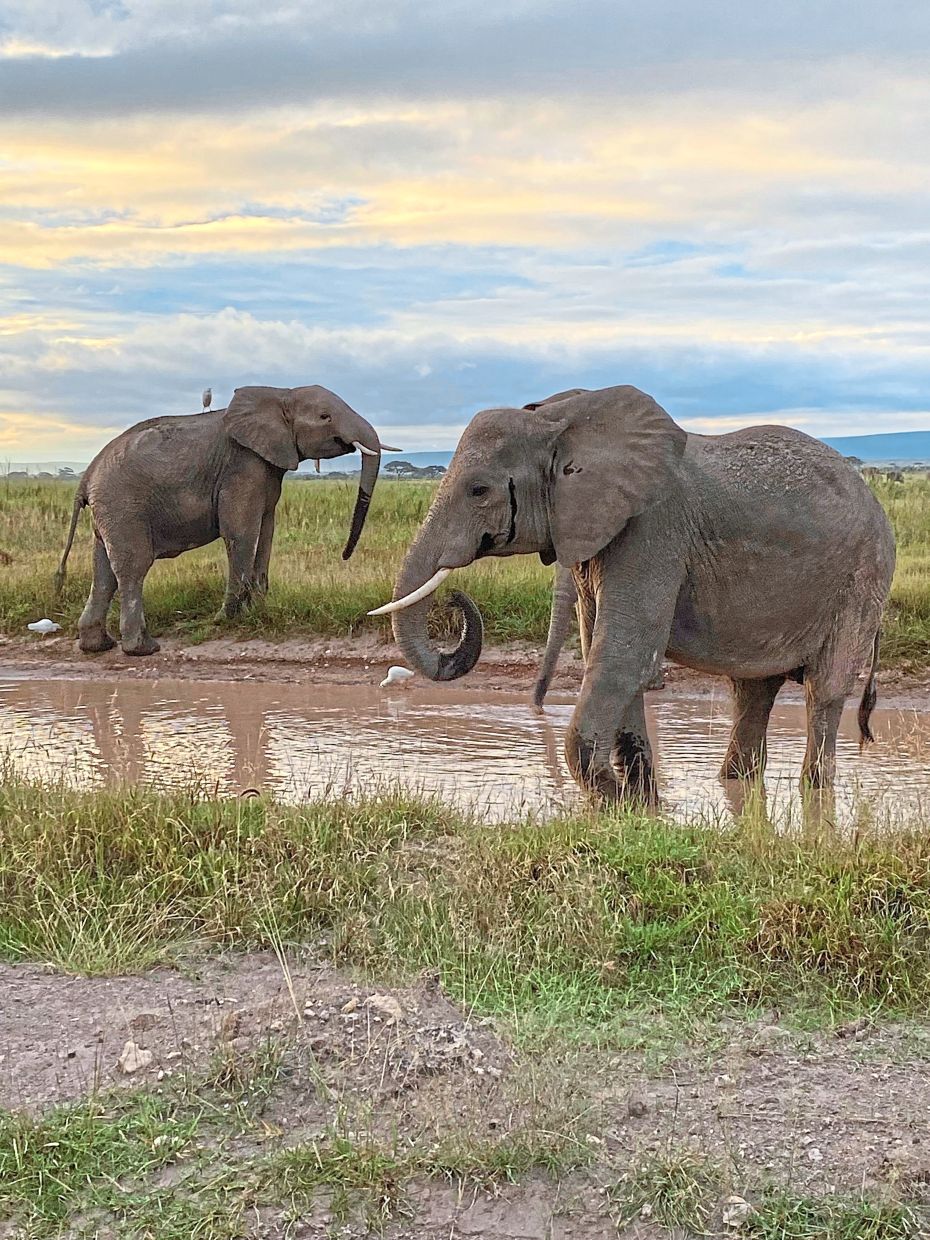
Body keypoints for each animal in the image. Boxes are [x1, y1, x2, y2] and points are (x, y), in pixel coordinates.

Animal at [57, 385, 393, 656]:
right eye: (325, 417)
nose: (344, 556)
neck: (280, 394)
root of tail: (86, 477)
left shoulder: (266, 467)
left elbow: (267, 529)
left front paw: (258, 608)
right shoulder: (242, 466)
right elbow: (241, 532)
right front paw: (229, 618)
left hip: (110, 511)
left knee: (103, 572)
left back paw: (98, 646)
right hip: (124, 504)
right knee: (132, 568)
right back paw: (143, 648)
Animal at [371, 385, 895, 802]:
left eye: (478, 490)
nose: (456, 597)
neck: (561, 421)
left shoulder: (653, 529)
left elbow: (622, 658)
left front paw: (615, 798)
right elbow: (608, 657)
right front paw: (640, 805)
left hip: (863, 578)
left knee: (823, 689)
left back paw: (815, 791)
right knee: (752, 690)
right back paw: (737, 783)